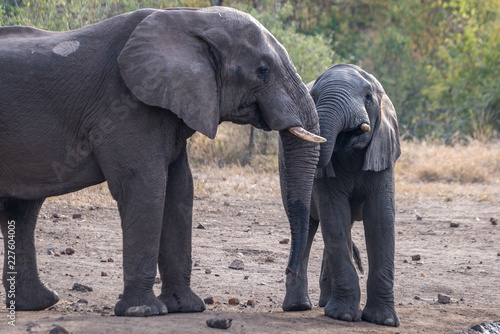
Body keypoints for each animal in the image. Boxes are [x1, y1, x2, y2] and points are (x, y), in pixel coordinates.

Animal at [0, 6, 324, 318]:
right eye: (263, 71)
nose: (290, 276)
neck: (192, 18)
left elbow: (180, 190)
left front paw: (186, 307)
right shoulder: (124, 104)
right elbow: (145, 187)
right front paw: (144, 311)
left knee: (22, 210)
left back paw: (39, 303)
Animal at [282, 63, 402, 326]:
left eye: (368, 97)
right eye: (314, 97)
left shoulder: (382, 152)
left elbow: (381, 219)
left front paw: (383, 320)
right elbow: (334, 216)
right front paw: (343, 316)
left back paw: (324, 303)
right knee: (310, 226)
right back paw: (299, 307)